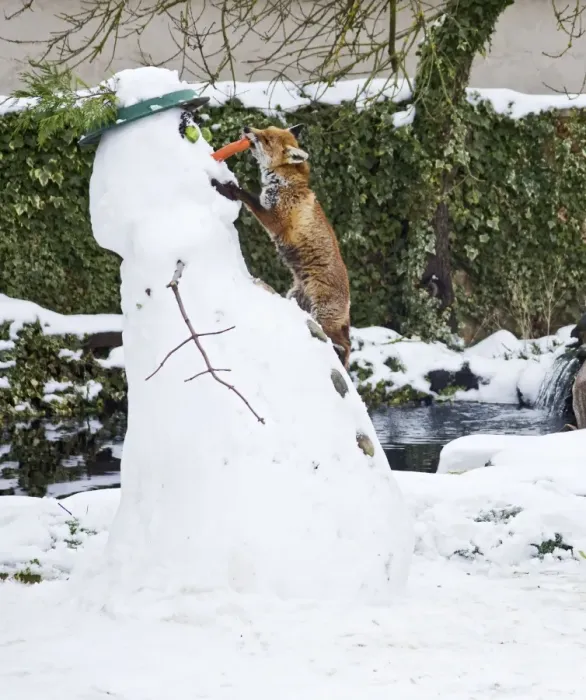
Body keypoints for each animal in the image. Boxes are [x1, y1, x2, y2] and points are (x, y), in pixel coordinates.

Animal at [211, 124, 351, 368]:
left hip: (322, 316)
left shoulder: (275, 219)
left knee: (345, 344)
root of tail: (349, 303)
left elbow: (246, 196)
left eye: (267, 139)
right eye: (264, 127)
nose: (246, 127)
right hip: (297, 299)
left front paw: (226, 187)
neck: (285, 183)